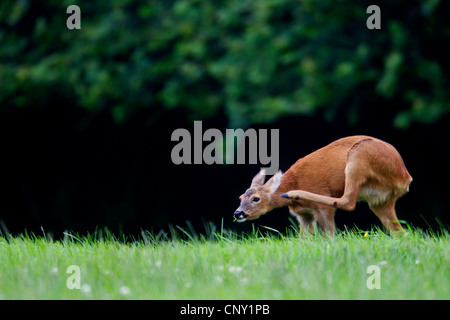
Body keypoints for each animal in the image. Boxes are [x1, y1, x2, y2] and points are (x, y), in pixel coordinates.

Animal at [234, 135, 414, 235]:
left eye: (256, 198)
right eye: (241, 197)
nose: (238, 213)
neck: (295, 180)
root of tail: (405, 177)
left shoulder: (321, 206)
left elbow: (329, 236)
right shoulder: (304, 216)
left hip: (358, 157)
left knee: (347, 202)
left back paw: (294, 193)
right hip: (380, 201)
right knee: (401, 233)